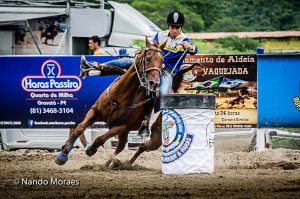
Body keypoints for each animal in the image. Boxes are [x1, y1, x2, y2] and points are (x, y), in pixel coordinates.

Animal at [54, 38, 165, 166]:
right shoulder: (95, 111)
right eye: (147, 58)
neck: (120, 96)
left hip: (155, 136)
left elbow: (100, 139)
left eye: (162, 61)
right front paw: (63, 155)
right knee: (124, 146)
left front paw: (90, 149)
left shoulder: (121, 126)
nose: (154, 83)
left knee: (138, 146)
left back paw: (120, 164)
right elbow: (80, 127)